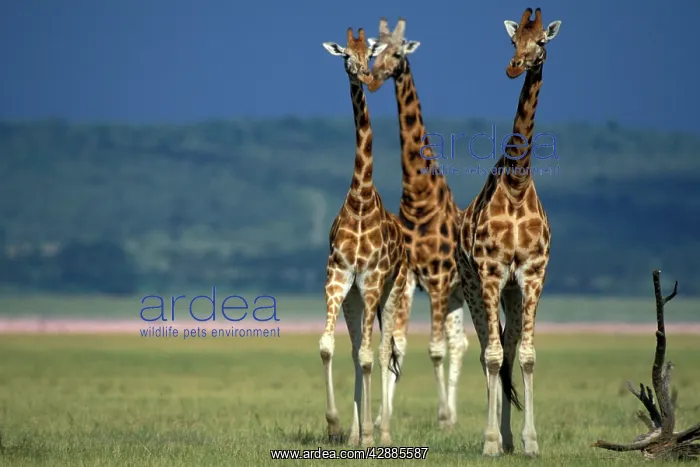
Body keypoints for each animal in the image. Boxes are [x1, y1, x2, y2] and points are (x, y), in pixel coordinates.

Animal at [365, 18, 469, 429]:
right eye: (372, 53)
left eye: (398, 53)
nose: (373, 79)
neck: (420, 198)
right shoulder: (409, 279)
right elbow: (401, 344)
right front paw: (382, 417)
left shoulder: (438, 278)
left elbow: (434, 349)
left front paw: (441, 414)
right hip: (456, 295)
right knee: (460, 342)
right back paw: (453, 413)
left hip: (458, 290)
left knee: (457, 344)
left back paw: (450, 415)